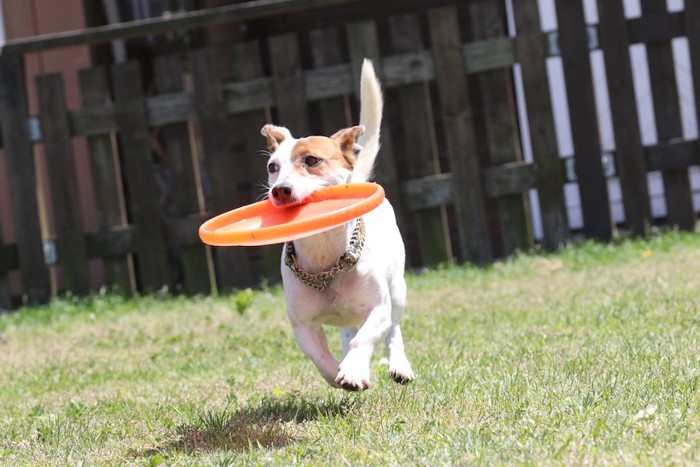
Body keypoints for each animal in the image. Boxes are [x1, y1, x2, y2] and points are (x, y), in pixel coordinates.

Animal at [262, 61, 416, 392]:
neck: (324, 259)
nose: (280, 190)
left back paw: (399, 365)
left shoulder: (378, 309)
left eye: (311, 160)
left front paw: (355, 370)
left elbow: (368, 336)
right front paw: (339, 372)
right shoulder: (303, 326)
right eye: (272, 167)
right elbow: (320, 357)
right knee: (348, 331)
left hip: (397, 288)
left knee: (393, 329)